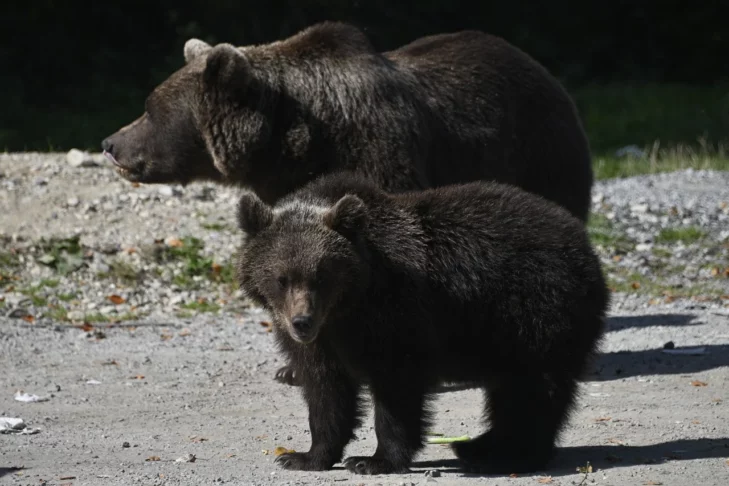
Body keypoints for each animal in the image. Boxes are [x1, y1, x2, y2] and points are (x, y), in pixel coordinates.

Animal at [102, 20, 592, 388]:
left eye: (150, 109)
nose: (110, 143)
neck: (293, 141)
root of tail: (538, 66)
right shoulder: (288, 189)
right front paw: (292, 366)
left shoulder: (378, 155)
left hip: (539, 156)